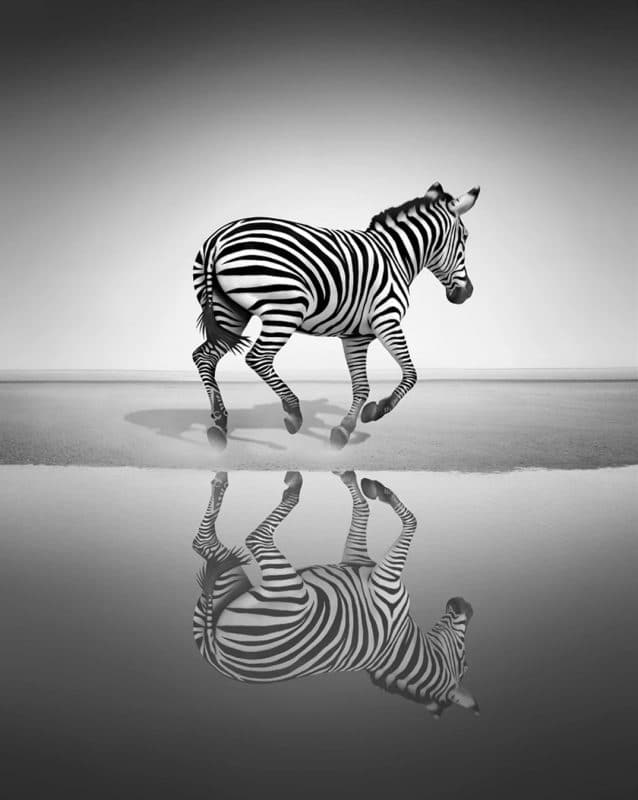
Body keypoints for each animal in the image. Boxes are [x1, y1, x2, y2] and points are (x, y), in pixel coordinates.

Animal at [192, 181, 480, 448]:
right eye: (465, 237)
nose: (467, 293)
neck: (395, 256)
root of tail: (218, 238)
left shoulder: (356, 336)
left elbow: (361, 386)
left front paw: (345, 429)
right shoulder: (387, 319)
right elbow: (411, 375)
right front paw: (375, 411)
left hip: (230, 311)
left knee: (204, 356)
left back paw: (219, 421)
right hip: (286, 309)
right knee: (257, 357)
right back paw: (293, 412)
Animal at [192, 471, 479, 718]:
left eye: (464, 664)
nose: (466, 604)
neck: (397, 643)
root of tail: (216, 654)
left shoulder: (387, 581)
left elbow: (412, 521)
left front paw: (382, 492)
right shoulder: (360, 559)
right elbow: (364, 511)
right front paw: (357, 480)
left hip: (292, 593)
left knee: (246, 539)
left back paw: (288, 487)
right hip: (232, 583)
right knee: (204, 544)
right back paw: (222, 486)